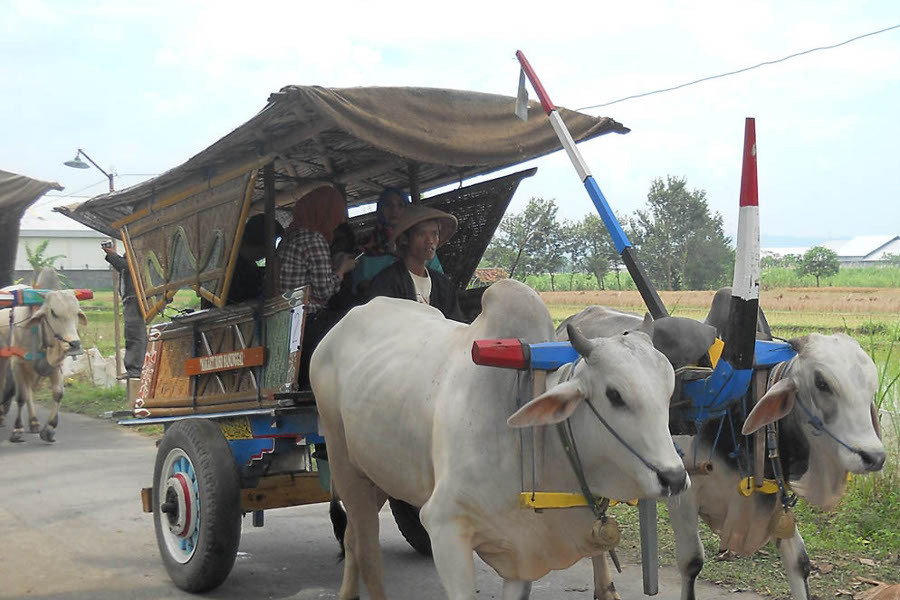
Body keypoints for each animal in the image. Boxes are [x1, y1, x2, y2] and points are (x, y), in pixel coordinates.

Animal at [0, 270, 86, 442]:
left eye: (77, 313)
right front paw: (17, 430)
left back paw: (33, 422)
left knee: (29, 390)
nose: (74, 344)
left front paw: (49, 428)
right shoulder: (17, 363)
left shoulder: (56, 366)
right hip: (4, 358)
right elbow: (20, 397)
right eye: (53, 312)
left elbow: (58, 394)